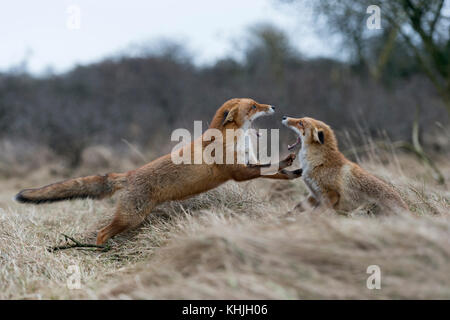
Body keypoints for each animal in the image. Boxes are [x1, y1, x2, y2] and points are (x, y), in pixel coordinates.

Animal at [14, 98, 296, 245]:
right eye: (253, 107)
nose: (273, 106)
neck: (238, 141)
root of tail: (128, 174)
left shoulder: (249, 165)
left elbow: (274, 171)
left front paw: (292, 169)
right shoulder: (238, 172)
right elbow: (267, 167)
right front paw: (289, 161)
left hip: (132, 217)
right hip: (131, 217)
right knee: (102, 232)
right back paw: (100, 251)